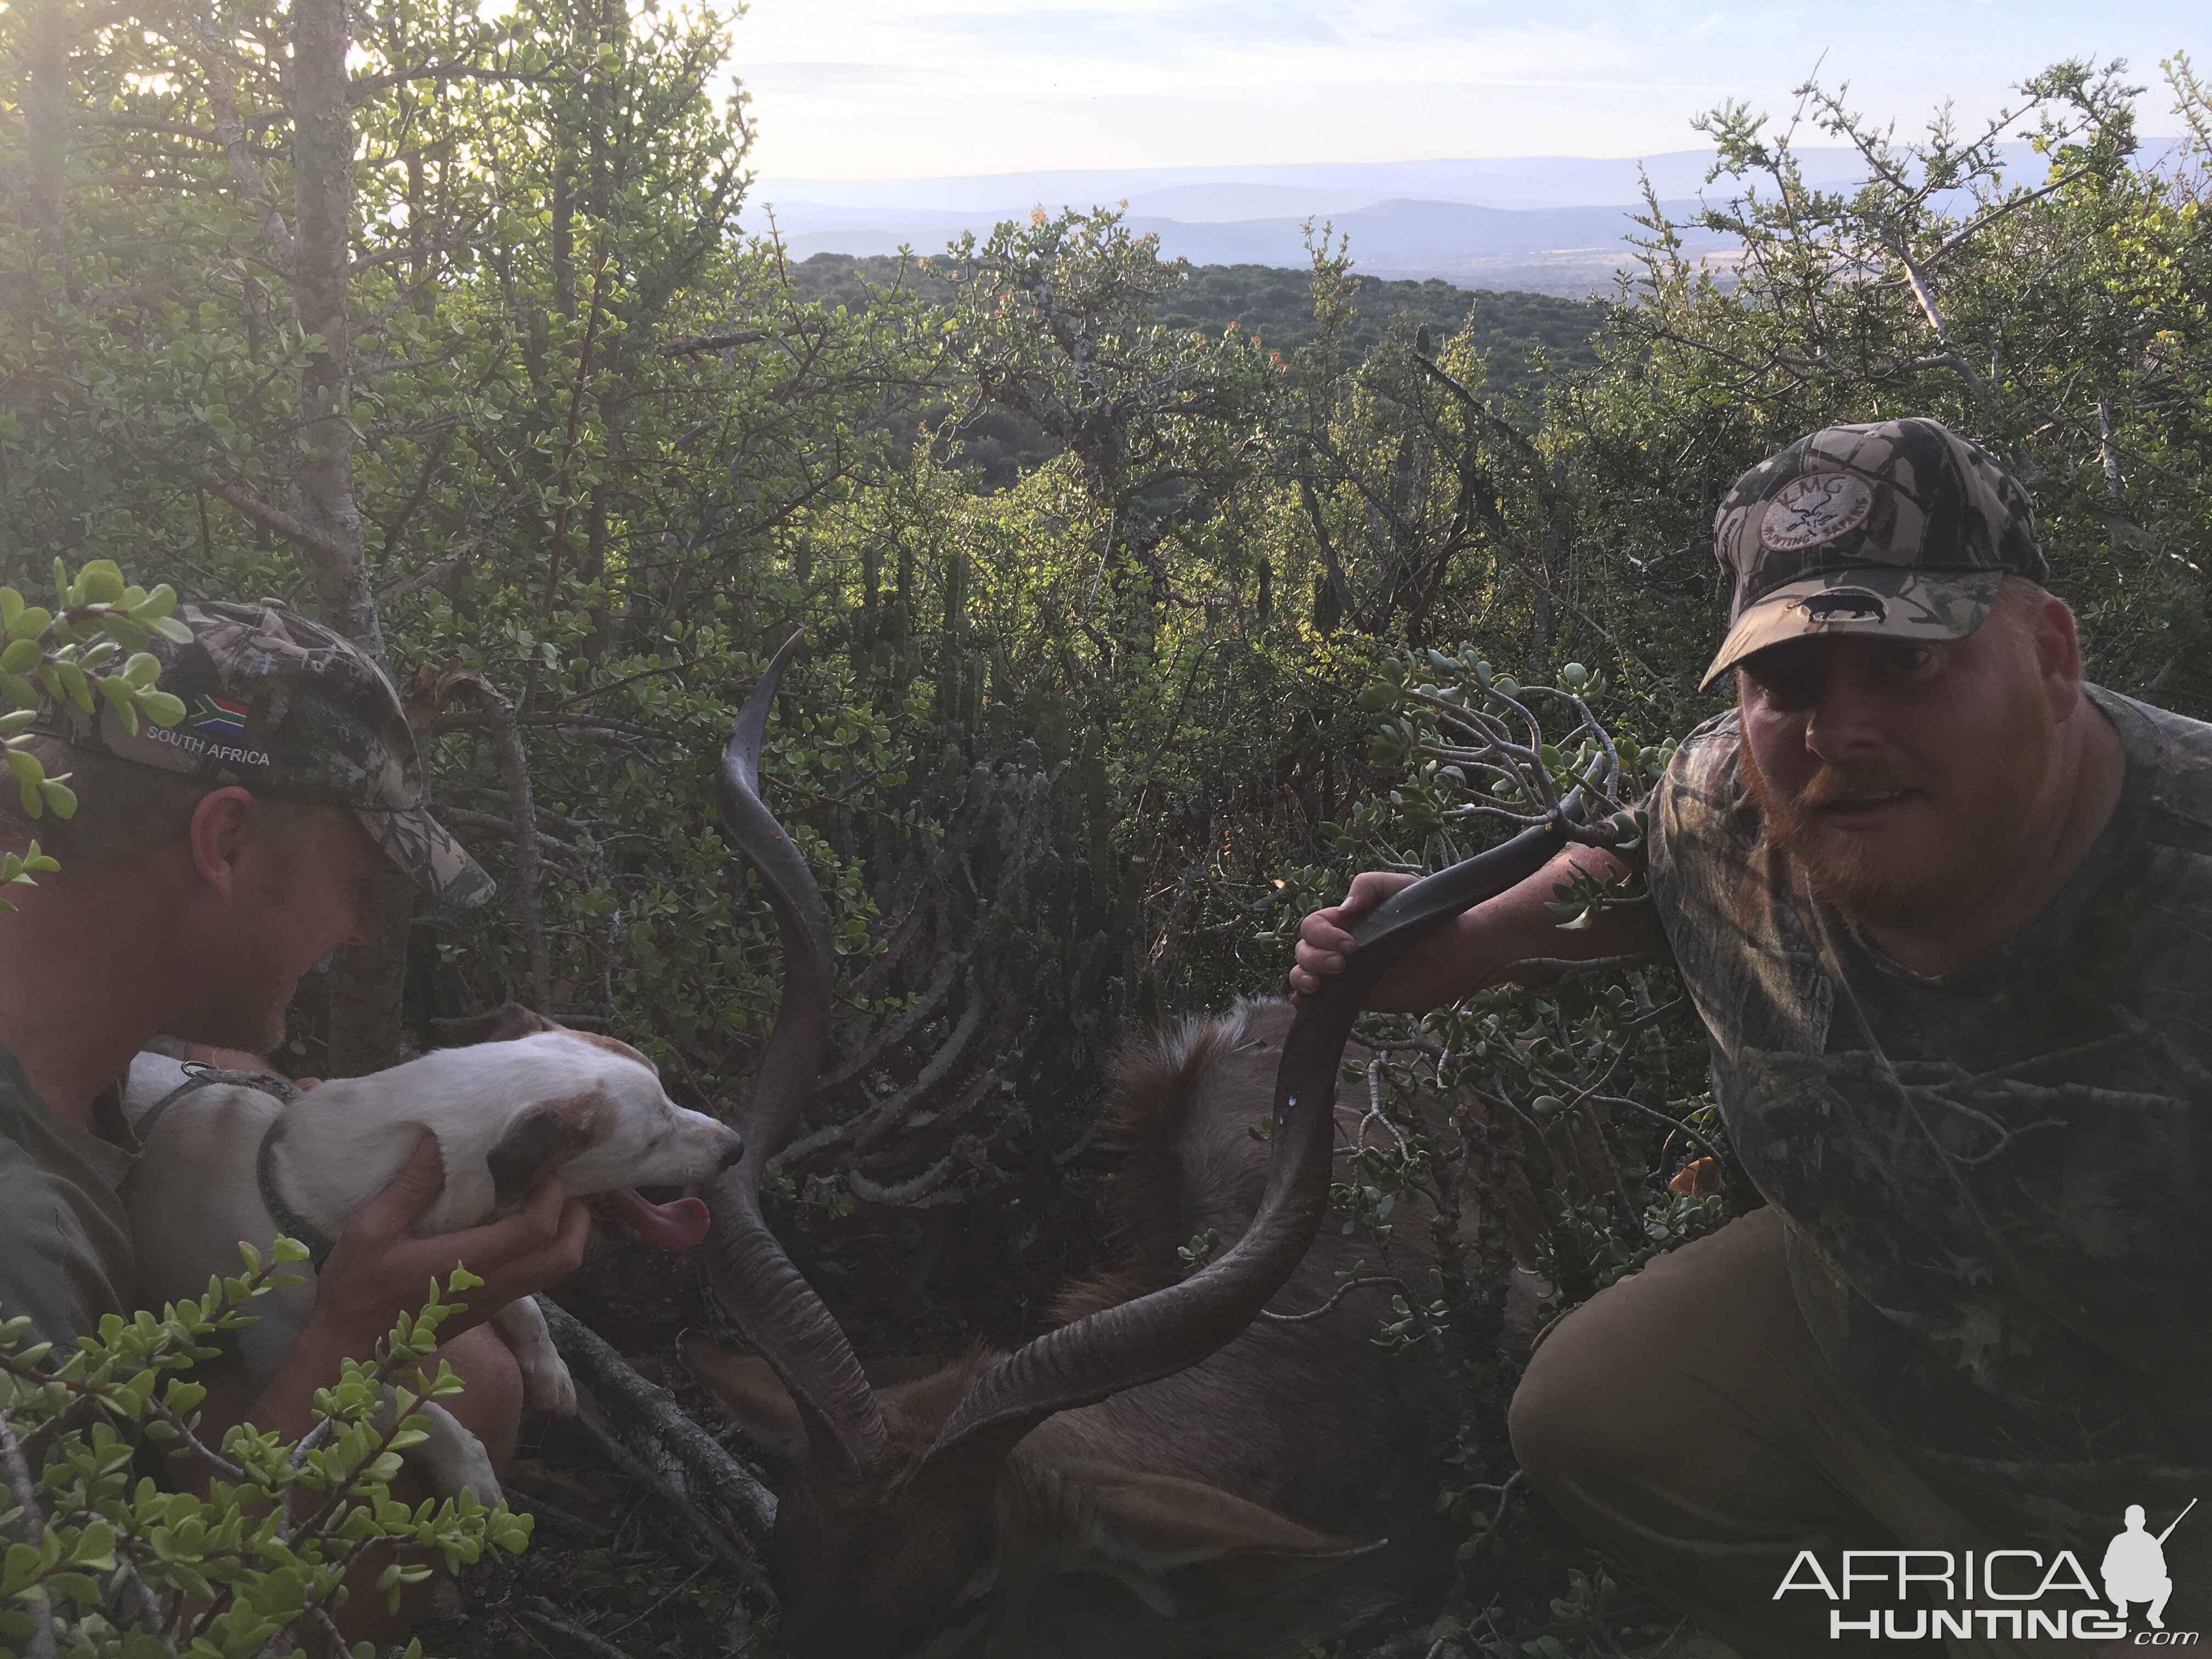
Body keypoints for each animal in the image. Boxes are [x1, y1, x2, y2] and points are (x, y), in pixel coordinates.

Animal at [119, 1000, 743, 1504]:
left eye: (668, 1091)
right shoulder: (284, 1354)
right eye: (652, 1141)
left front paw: (548, 1367)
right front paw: (467, 1464)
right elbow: (397, 1403)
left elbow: (527, 1306)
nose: (735, 1148)